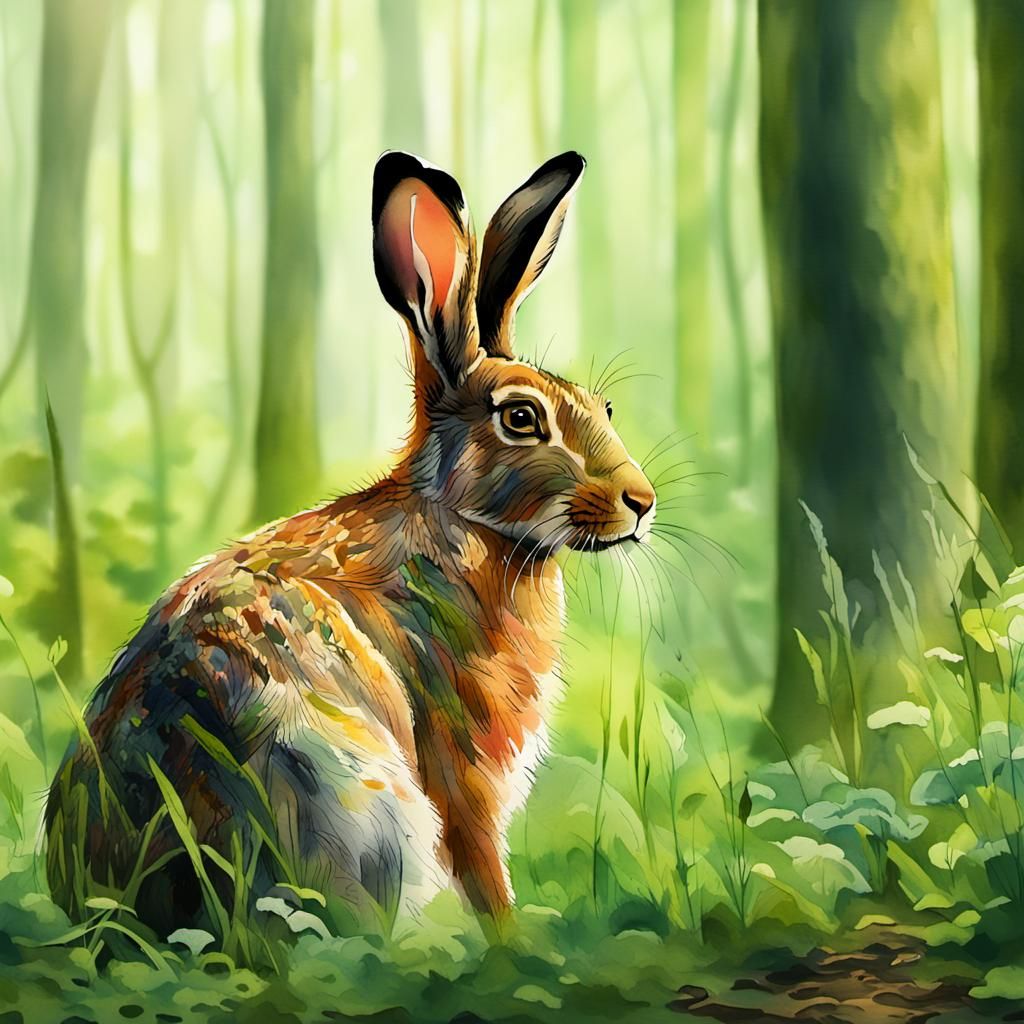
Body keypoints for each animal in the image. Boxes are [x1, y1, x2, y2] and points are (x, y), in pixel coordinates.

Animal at [44, 151, 657, 937]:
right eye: (522, 418)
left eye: (602, 406)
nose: (641, 502)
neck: (463, 522)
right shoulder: (460, 765)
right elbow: (483, 865)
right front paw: (512, 942)